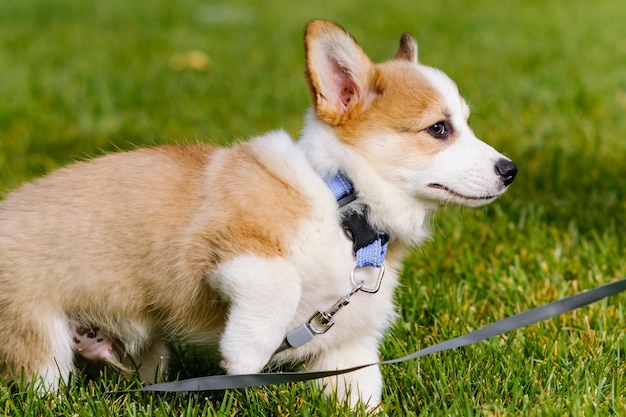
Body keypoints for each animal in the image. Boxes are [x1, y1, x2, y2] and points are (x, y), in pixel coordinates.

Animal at [0, 20, 516, 406]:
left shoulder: (347, 345)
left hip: (143, 352)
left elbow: (362, 390)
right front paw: (244, 356)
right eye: (439, 129)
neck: (343, 205)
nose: (509, 170)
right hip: (39, 340)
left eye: (465, 123)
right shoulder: (227, 244)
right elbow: (280, 281)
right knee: (43, 385)